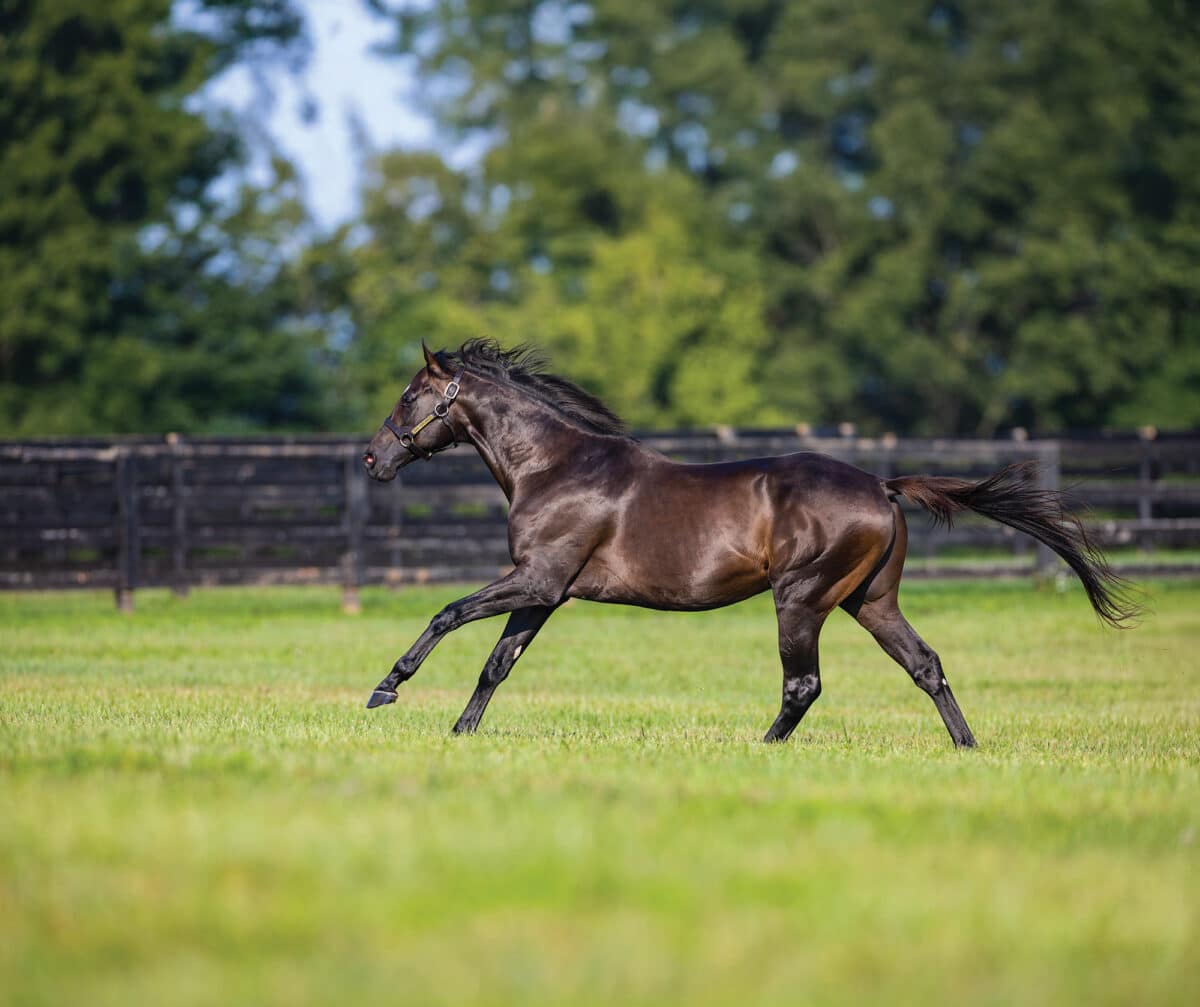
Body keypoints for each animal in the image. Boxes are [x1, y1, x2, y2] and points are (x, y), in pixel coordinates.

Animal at [355, 343, 1132, 744]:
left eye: (410, 395)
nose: (372, 457)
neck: (554, 465)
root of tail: (882, 485)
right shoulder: (546, 590)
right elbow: (498, 662)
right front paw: (461, 731)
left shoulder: (539, 578)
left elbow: (448, 613)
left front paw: (385, 689)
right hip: (871, 602)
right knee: (926, 665)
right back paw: (967, 748)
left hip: (801, 599)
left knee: (804, 683)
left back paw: (762, 749)